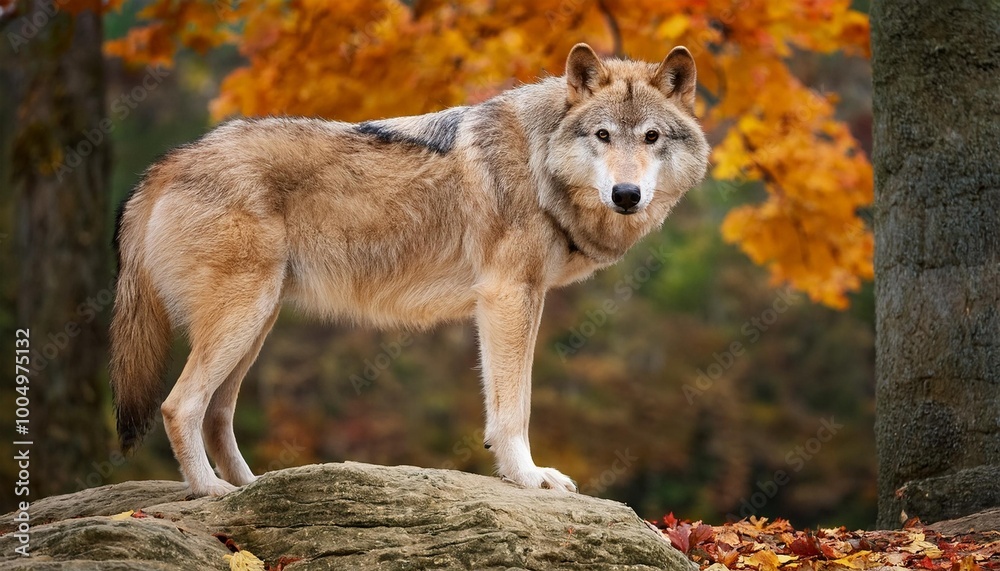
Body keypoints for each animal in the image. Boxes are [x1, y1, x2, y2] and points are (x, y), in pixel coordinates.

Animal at [110, 43, 710, 496]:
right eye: (603, 135)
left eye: (651, 137)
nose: (626, 194)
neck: (541, 161)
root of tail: (169, 162)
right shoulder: (507, 296)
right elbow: (513, 407)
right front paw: (528, 477)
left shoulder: (523, 298)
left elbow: (510, 402)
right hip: (242, 319)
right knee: (179, 406)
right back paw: (209, 492)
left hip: (255, 324)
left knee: (216, 415)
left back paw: (251, 490)